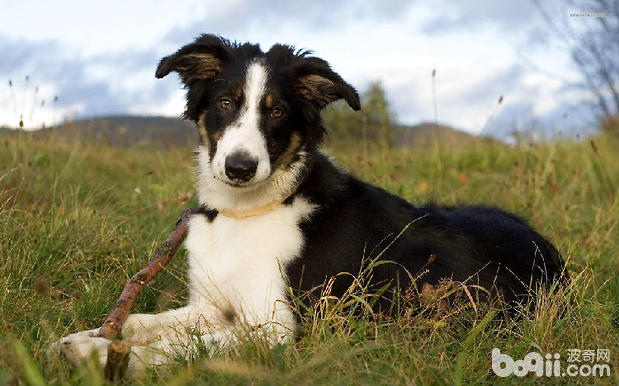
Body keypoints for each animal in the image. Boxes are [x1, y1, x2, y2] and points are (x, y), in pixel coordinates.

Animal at [55, 35, 568, 370]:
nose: (240, 168)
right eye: (225, 102)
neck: (249, 210)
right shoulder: (213, 305)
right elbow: (144, 321)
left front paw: (104, 355)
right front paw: (87, 337)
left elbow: (178, 346)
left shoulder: (281, 329)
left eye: (278, 111)